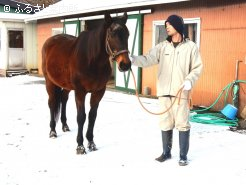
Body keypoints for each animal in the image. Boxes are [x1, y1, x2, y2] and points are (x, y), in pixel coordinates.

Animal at [41, 13, 132, 154]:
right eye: (111, 35)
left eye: (127, 34)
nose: (125, 64)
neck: (91, 59)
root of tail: (49, 42)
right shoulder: (80, 92)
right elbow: (81, 117)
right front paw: (80, 146)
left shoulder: (98, 92)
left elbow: (92, 116)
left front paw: (91, 143)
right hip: (49, 82)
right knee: (51, 103)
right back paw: (52, 131)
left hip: (67, 86)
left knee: (63, 99)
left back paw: (65, 126)